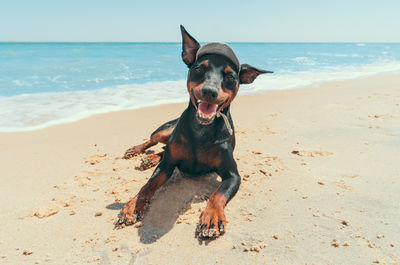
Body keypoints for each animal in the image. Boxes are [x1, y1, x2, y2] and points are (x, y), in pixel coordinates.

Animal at [114, 25, 274, 238]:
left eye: (230, 77)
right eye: (199, 68)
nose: (209, 91)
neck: (201, 130)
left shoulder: (233, 175)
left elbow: (217, 194)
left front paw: (212, 217)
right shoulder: (167, 166)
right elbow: (148, 185)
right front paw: (133, 206)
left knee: (163, 150)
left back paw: (150, 158)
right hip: (166, 129)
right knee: (154, 141)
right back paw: (138, 151)